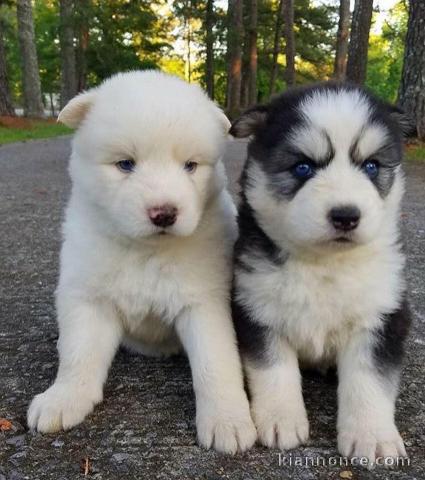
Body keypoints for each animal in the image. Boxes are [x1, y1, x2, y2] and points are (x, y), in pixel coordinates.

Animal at [29, 71, 258, 454]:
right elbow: (79, 354)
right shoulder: (88, 297)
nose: (164, 213)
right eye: (125, 164)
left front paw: (228, 419)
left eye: (190, 166)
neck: (146, 251)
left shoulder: (204, 303)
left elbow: (215, 363)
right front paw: (63, 399)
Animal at [230, 84, 410, 466]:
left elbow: (370, 381)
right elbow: (273, 371)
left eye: (371, 166)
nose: (346, 216)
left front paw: (373, 436)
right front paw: (281, 419)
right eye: (302, 167)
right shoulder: (257, 308)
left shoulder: (382, 316)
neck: (324, 265)